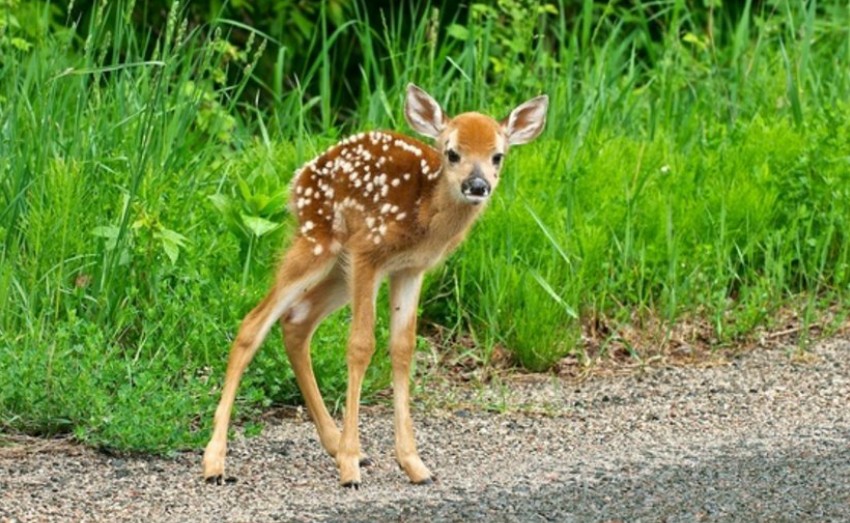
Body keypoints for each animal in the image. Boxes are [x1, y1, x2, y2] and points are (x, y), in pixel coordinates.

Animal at [202, 84, 548, 490]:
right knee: (252, 324)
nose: (477, 185)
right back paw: (215, 461)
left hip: (340, 270)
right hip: (319, 242)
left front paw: (414, 464)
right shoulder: (369, 252)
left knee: (296, 320)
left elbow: (402, 348)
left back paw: (334, 443)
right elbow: (360, 345)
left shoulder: (410, 270)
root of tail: (299, 177)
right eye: (452, 152)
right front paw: (350, 468)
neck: (424, 212)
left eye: (498, 155)